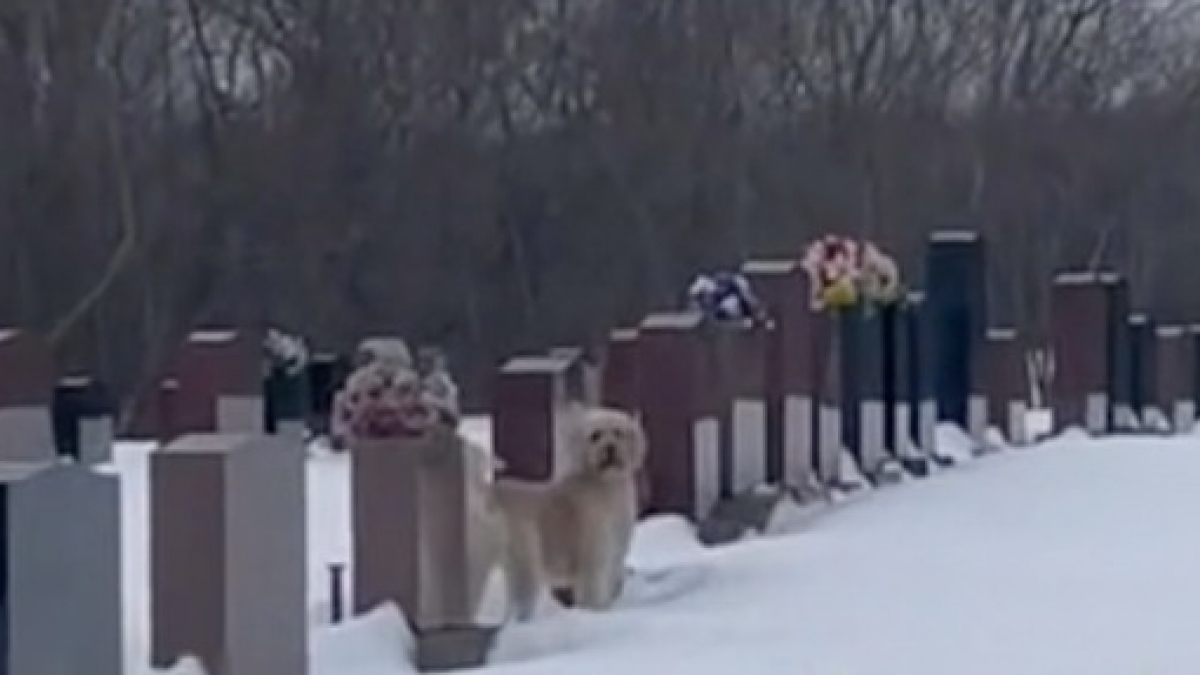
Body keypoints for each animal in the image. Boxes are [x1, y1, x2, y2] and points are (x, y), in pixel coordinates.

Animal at [487, 403, 648, 619]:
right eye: (595, 435)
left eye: (618, 433)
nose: (609, 448)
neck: (605, 484)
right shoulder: (593, 546)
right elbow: (593, 584)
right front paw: (596, 612)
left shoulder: (616, 550)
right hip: (524, 554)